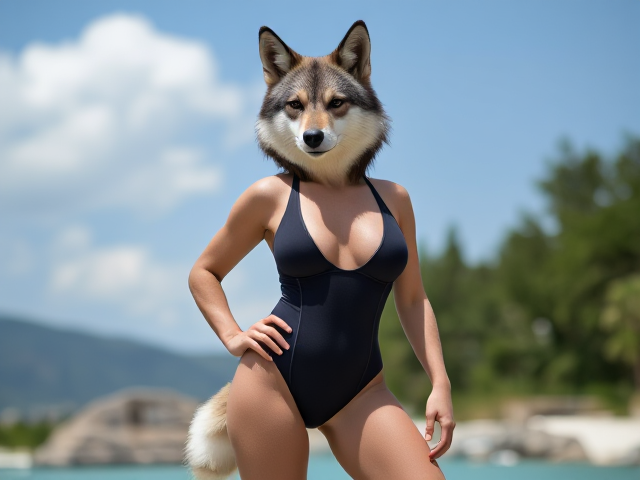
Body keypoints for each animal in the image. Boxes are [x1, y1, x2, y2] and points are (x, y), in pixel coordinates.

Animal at [184, 20, 390, 479]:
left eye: (336, 103)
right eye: (295, 105)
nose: (312, 136)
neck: (329, 183)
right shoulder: (256, 195)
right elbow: (202, 269)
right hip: (261, 401)